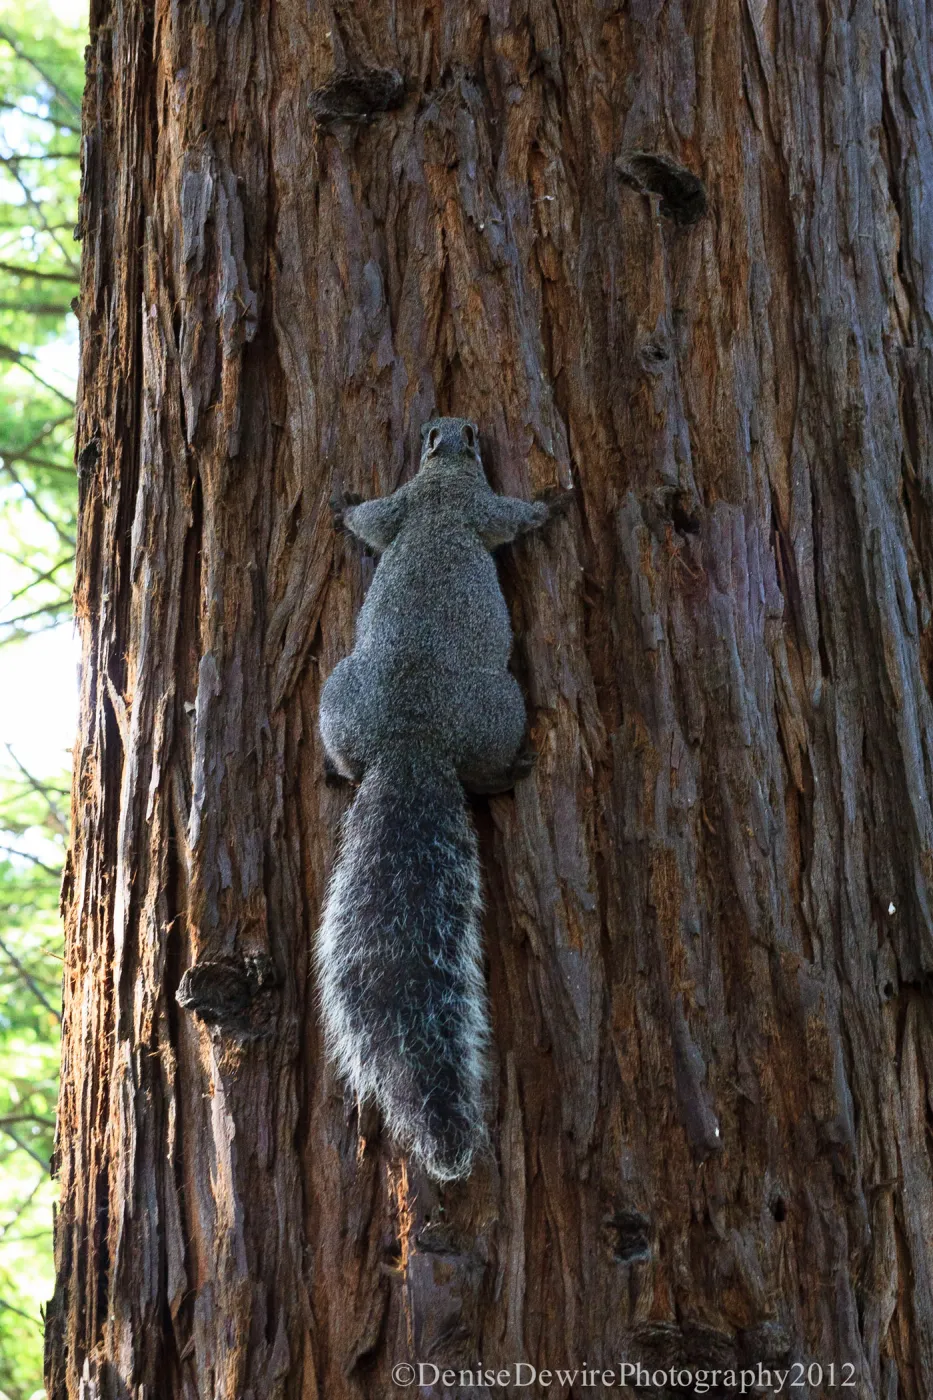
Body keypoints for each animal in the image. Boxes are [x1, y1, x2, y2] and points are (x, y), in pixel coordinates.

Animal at [316, 417, 562, 1181]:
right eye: (469, 435)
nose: (455, 422)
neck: (441, 479)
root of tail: (412, 743)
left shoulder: (403, 508)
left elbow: (369, 522)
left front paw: (341, 503)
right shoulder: (478, 510)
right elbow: (516, 517)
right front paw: (556, 498)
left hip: (338, 697)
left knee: (346, 757)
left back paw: (339, 771)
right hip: (498, 703)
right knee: (483, 769)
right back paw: (511, 768)